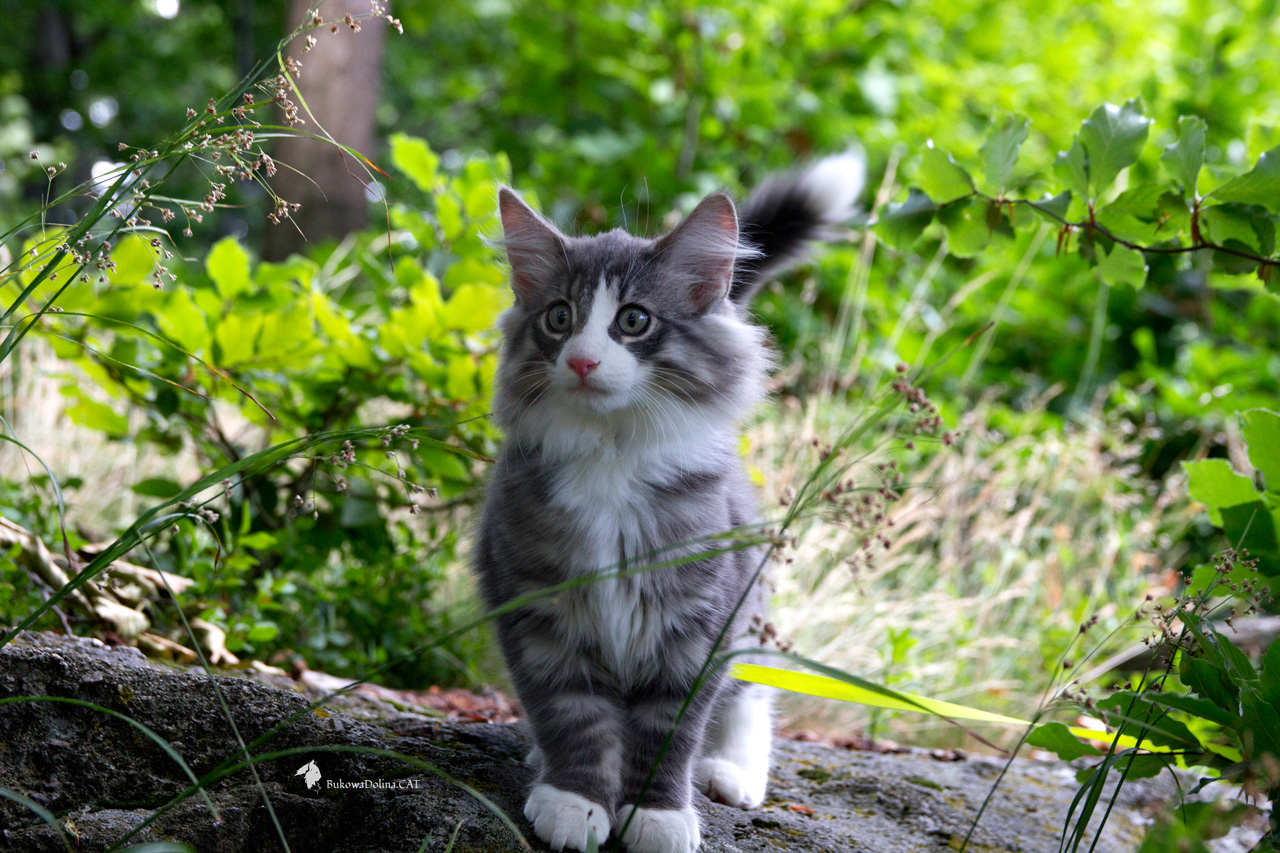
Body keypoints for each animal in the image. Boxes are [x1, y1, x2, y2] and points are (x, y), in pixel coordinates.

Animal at [473, 151, 865, 853]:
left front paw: (657, 813)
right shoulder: (535, 604)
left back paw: (731, 770)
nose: (582, 361)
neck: (612, 457)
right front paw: (575, 800)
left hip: (753, 608)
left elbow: (671, 729)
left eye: (634, 320)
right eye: (558, 318)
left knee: (751, 698)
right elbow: (570, 714)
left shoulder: (702, 621)